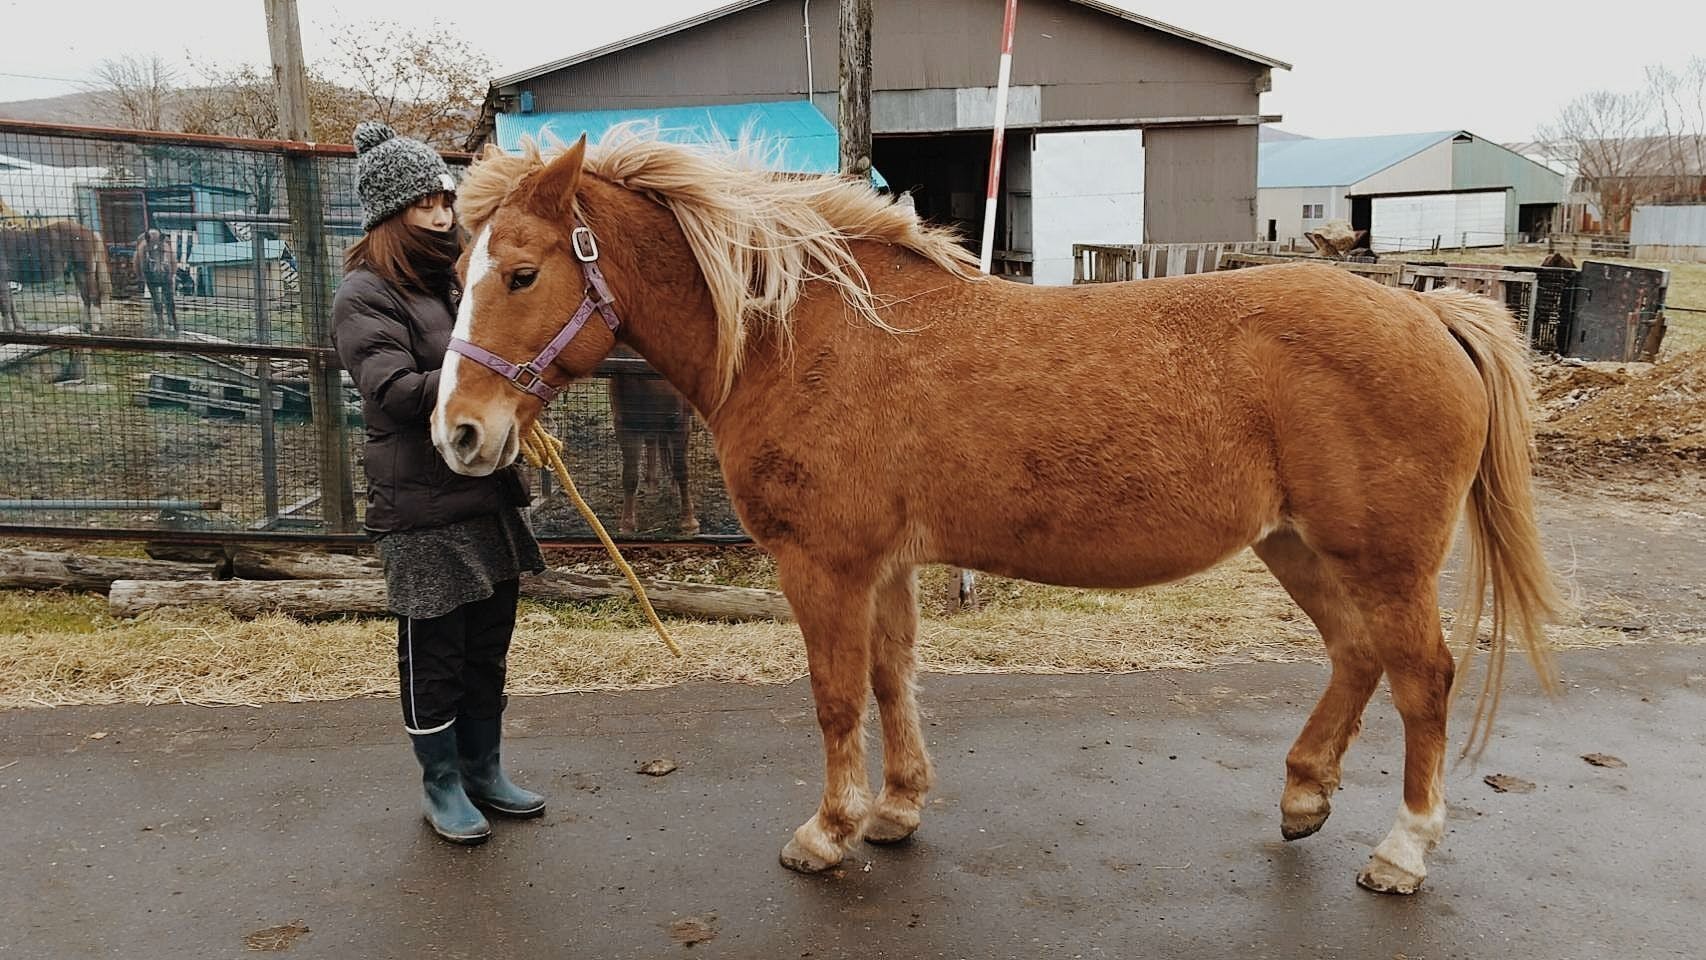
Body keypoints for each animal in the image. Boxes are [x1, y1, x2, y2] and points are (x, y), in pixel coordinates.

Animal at [429, 131, 1562, 900]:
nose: (460, 434)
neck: (803, 332)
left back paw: (1401, 849)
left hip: (1381, 559)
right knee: (1355, 657)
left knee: (1420, 679)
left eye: (521, 272)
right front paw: (895, 809)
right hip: (1299, 547)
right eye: (458, 271)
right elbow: (891, 682)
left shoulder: (824, 566)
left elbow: (835, 699)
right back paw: (1303, 796)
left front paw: (827, 831)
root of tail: (1427, 308)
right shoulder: (883, 566)